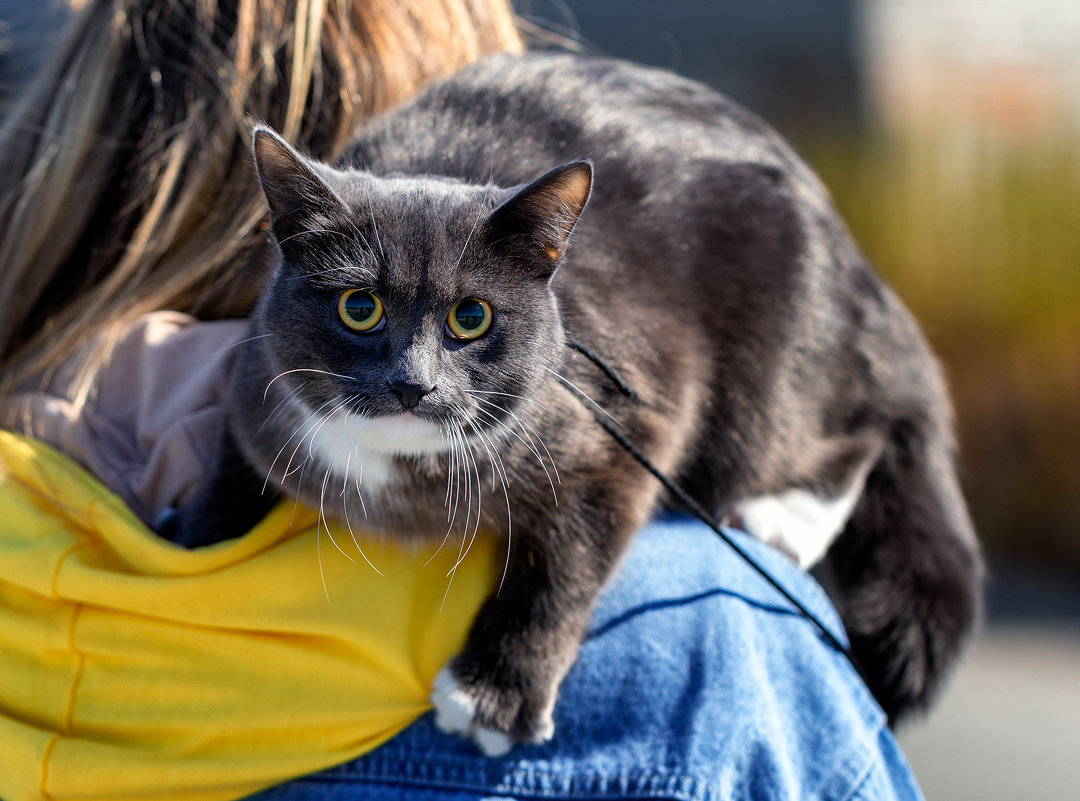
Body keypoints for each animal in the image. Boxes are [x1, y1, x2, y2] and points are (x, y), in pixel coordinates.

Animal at [166, 53, 980, 755]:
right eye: (359, 308)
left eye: (472, 317)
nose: (412, 382)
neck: (394, 468)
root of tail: (862, 273)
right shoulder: (256, 386)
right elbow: (234, 469)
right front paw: (192, 539)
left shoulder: (618, 424)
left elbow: (567, 558)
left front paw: (496, 694)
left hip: (774, 369)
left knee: (858, 430)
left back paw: (783, 514)